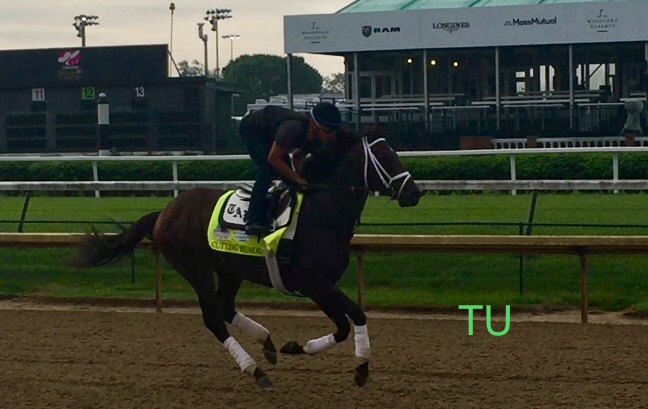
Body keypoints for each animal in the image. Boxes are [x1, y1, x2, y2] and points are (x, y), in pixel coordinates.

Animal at [73, 129, 422, 388]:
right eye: (384, 157)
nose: (414, 192)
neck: (322, 214)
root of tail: (165, 212)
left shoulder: (320, 285)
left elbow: (344, 323)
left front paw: (297, 347)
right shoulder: (312, 281)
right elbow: (353, 317)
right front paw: (361, 369)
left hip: (230, 269)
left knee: (226, 307)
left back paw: (267, 343)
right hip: (195, 268)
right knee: (214, 318)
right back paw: (255, 370)